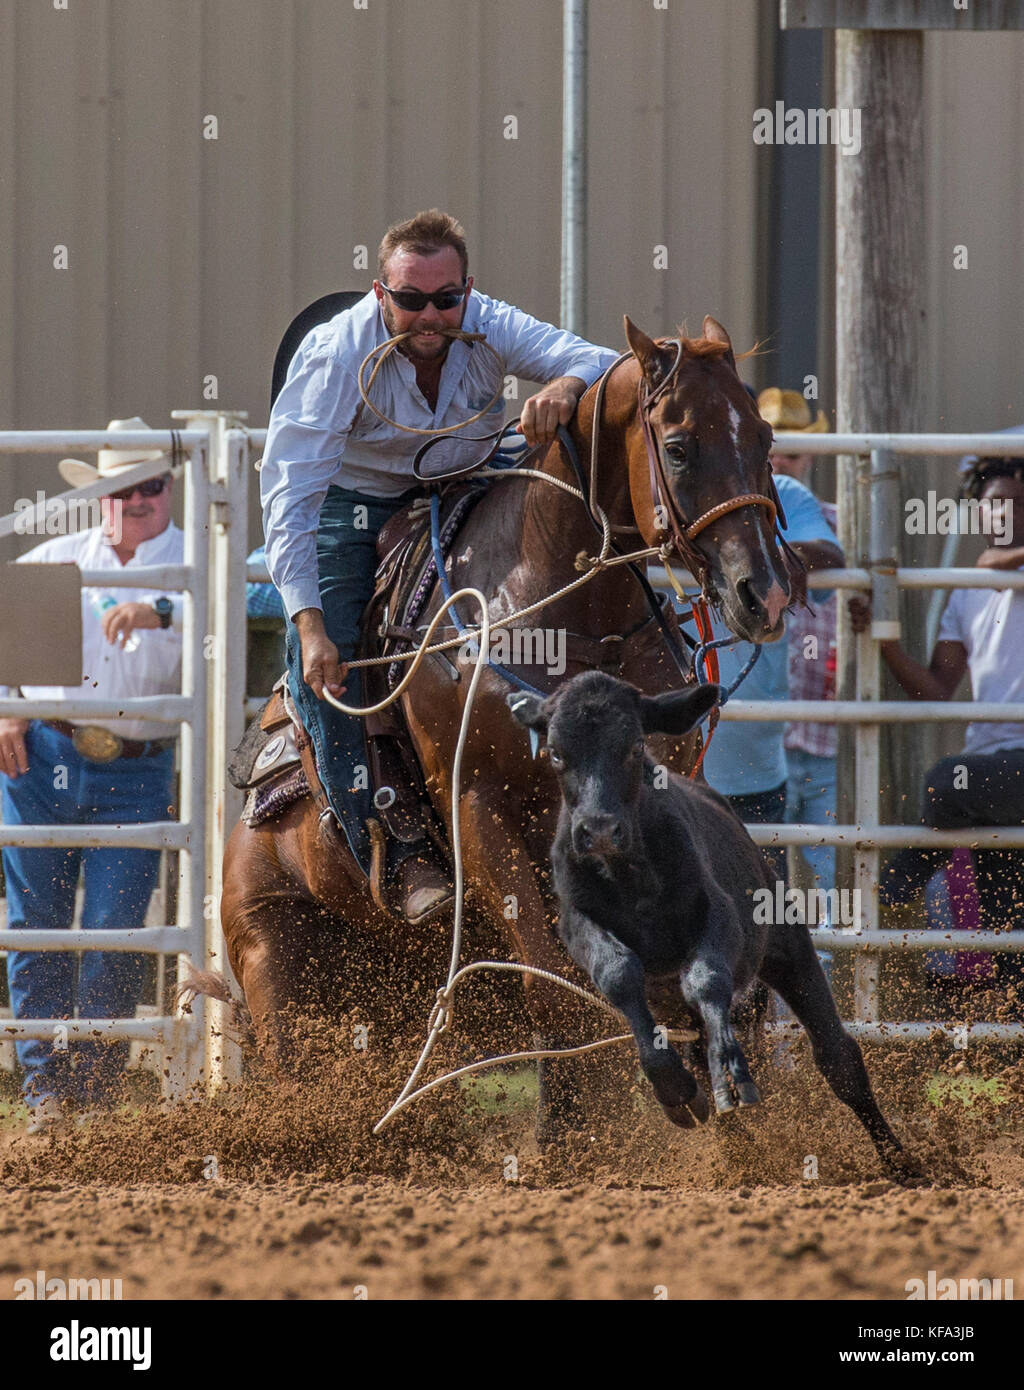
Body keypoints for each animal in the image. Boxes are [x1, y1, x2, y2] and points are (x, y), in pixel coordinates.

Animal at [222, 318, 789, 1139]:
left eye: (766, 437)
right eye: (679, 446)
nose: (764, 594)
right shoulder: (477, 808)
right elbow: (557, 990)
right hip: (275, 963)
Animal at [508, 667, 911, 1178]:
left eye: (634, 746)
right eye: (557, 752)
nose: (598, 830)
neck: (628, 873)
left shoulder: (717, 917)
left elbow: (706, 979)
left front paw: (731, 1072)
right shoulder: (577, 923)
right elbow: (619, 974)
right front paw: (675, 1089)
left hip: (787, 948)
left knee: (838, 1057)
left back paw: (899, 1159)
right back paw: (739, 1149)